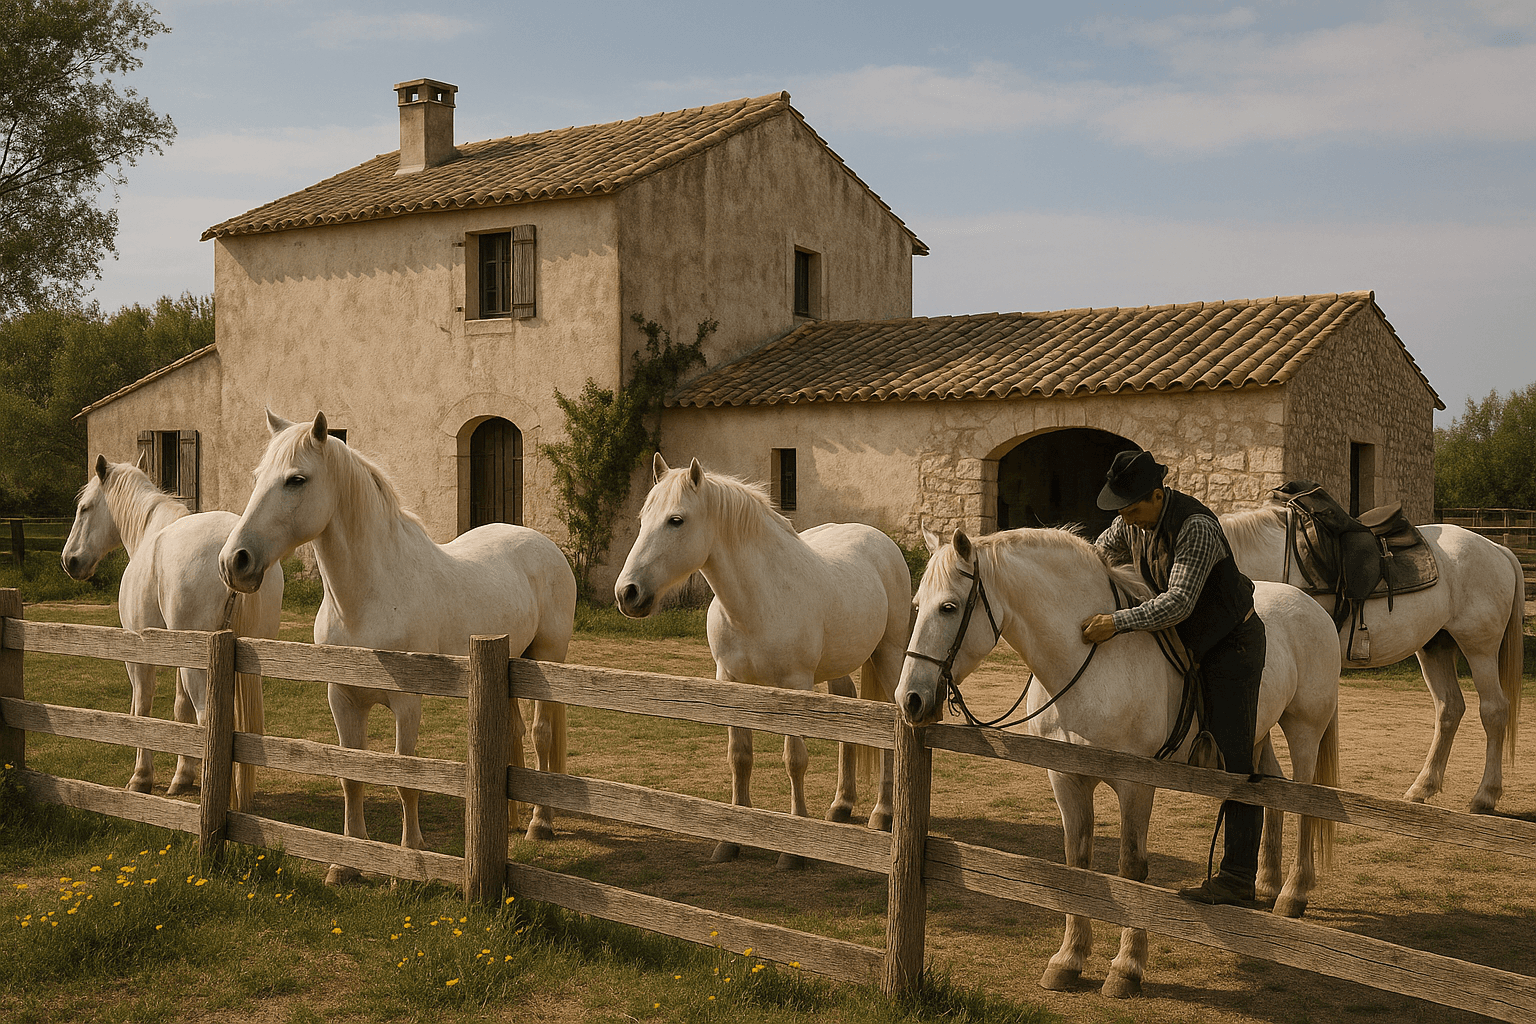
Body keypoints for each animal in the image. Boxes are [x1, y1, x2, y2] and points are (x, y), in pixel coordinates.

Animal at [61, 455, 282, 812]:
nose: (70, 560)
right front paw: (182, 777)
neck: (150, 532)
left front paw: (141, 778)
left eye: (84, 508)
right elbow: (181, 710)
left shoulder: (139, 655)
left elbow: (142, 709)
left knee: (207, 718)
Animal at [217, 411, 576, 884]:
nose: (234, 561)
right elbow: (351, 777)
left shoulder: (408, 704)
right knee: (515, 733)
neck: (370, 600)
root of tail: (542, 543)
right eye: (258, 477)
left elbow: (407, 778)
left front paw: (409, 861)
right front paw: (345, 865)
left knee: (542, 733)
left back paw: (540, 823)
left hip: (547, 662)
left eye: (296, 479)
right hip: (511, 663)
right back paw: (513, 820)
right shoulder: (343, 700)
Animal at [614, 454, 911, 868]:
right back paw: (840, 806)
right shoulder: (730, 682)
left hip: (888, 654)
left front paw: (793, 851)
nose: (628, 593)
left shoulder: (795, 686)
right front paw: (730, 841)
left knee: (885, 726)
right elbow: (739, 757)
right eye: (643, 518)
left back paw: (882, 814)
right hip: (838, 668)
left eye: (676, 520)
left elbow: (795, 759)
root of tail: (881, 541)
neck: (758, 600)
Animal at [896, 526, 1341, 998]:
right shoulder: (1066, 777)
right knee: (1272, 790)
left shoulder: (1136, 785)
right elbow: (1077, 861)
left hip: (1304, 729)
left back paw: (1292, 894)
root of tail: (1309, 603)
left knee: (1306, 803)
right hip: (1257, 735)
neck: (1090, 664)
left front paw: (1126, 968)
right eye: (917, 605)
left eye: (949, 607)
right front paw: (1068, 960)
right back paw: (1264, 884)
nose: (910, 699)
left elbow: (1131, 869)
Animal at [1221, 506, 1524, 813]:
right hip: (1435, 647)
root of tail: (1497, 549)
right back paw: (1422, 788)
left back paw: (1484, 796)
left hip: (1479, 648)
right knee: (1449, 709)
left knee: (1494, 710)